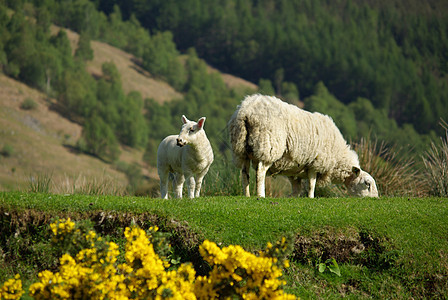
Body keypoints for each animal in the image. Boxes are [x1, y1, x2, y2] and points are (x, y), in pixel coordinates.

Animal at [228, 94, 378, 197]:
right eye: (367, 184)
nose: (375, 199)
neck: (338, 158)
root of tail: (246, 111)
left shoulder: (294, 170)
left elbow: (297, 189)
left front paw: (293, 198)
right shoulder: (315, 164)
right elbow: (312, 184)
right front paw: (310, 198)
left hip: (241, 149)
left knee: (244, 174)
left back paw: (247, 195)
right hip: (267, 146)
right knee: (260, 173)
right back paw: (261, 195)